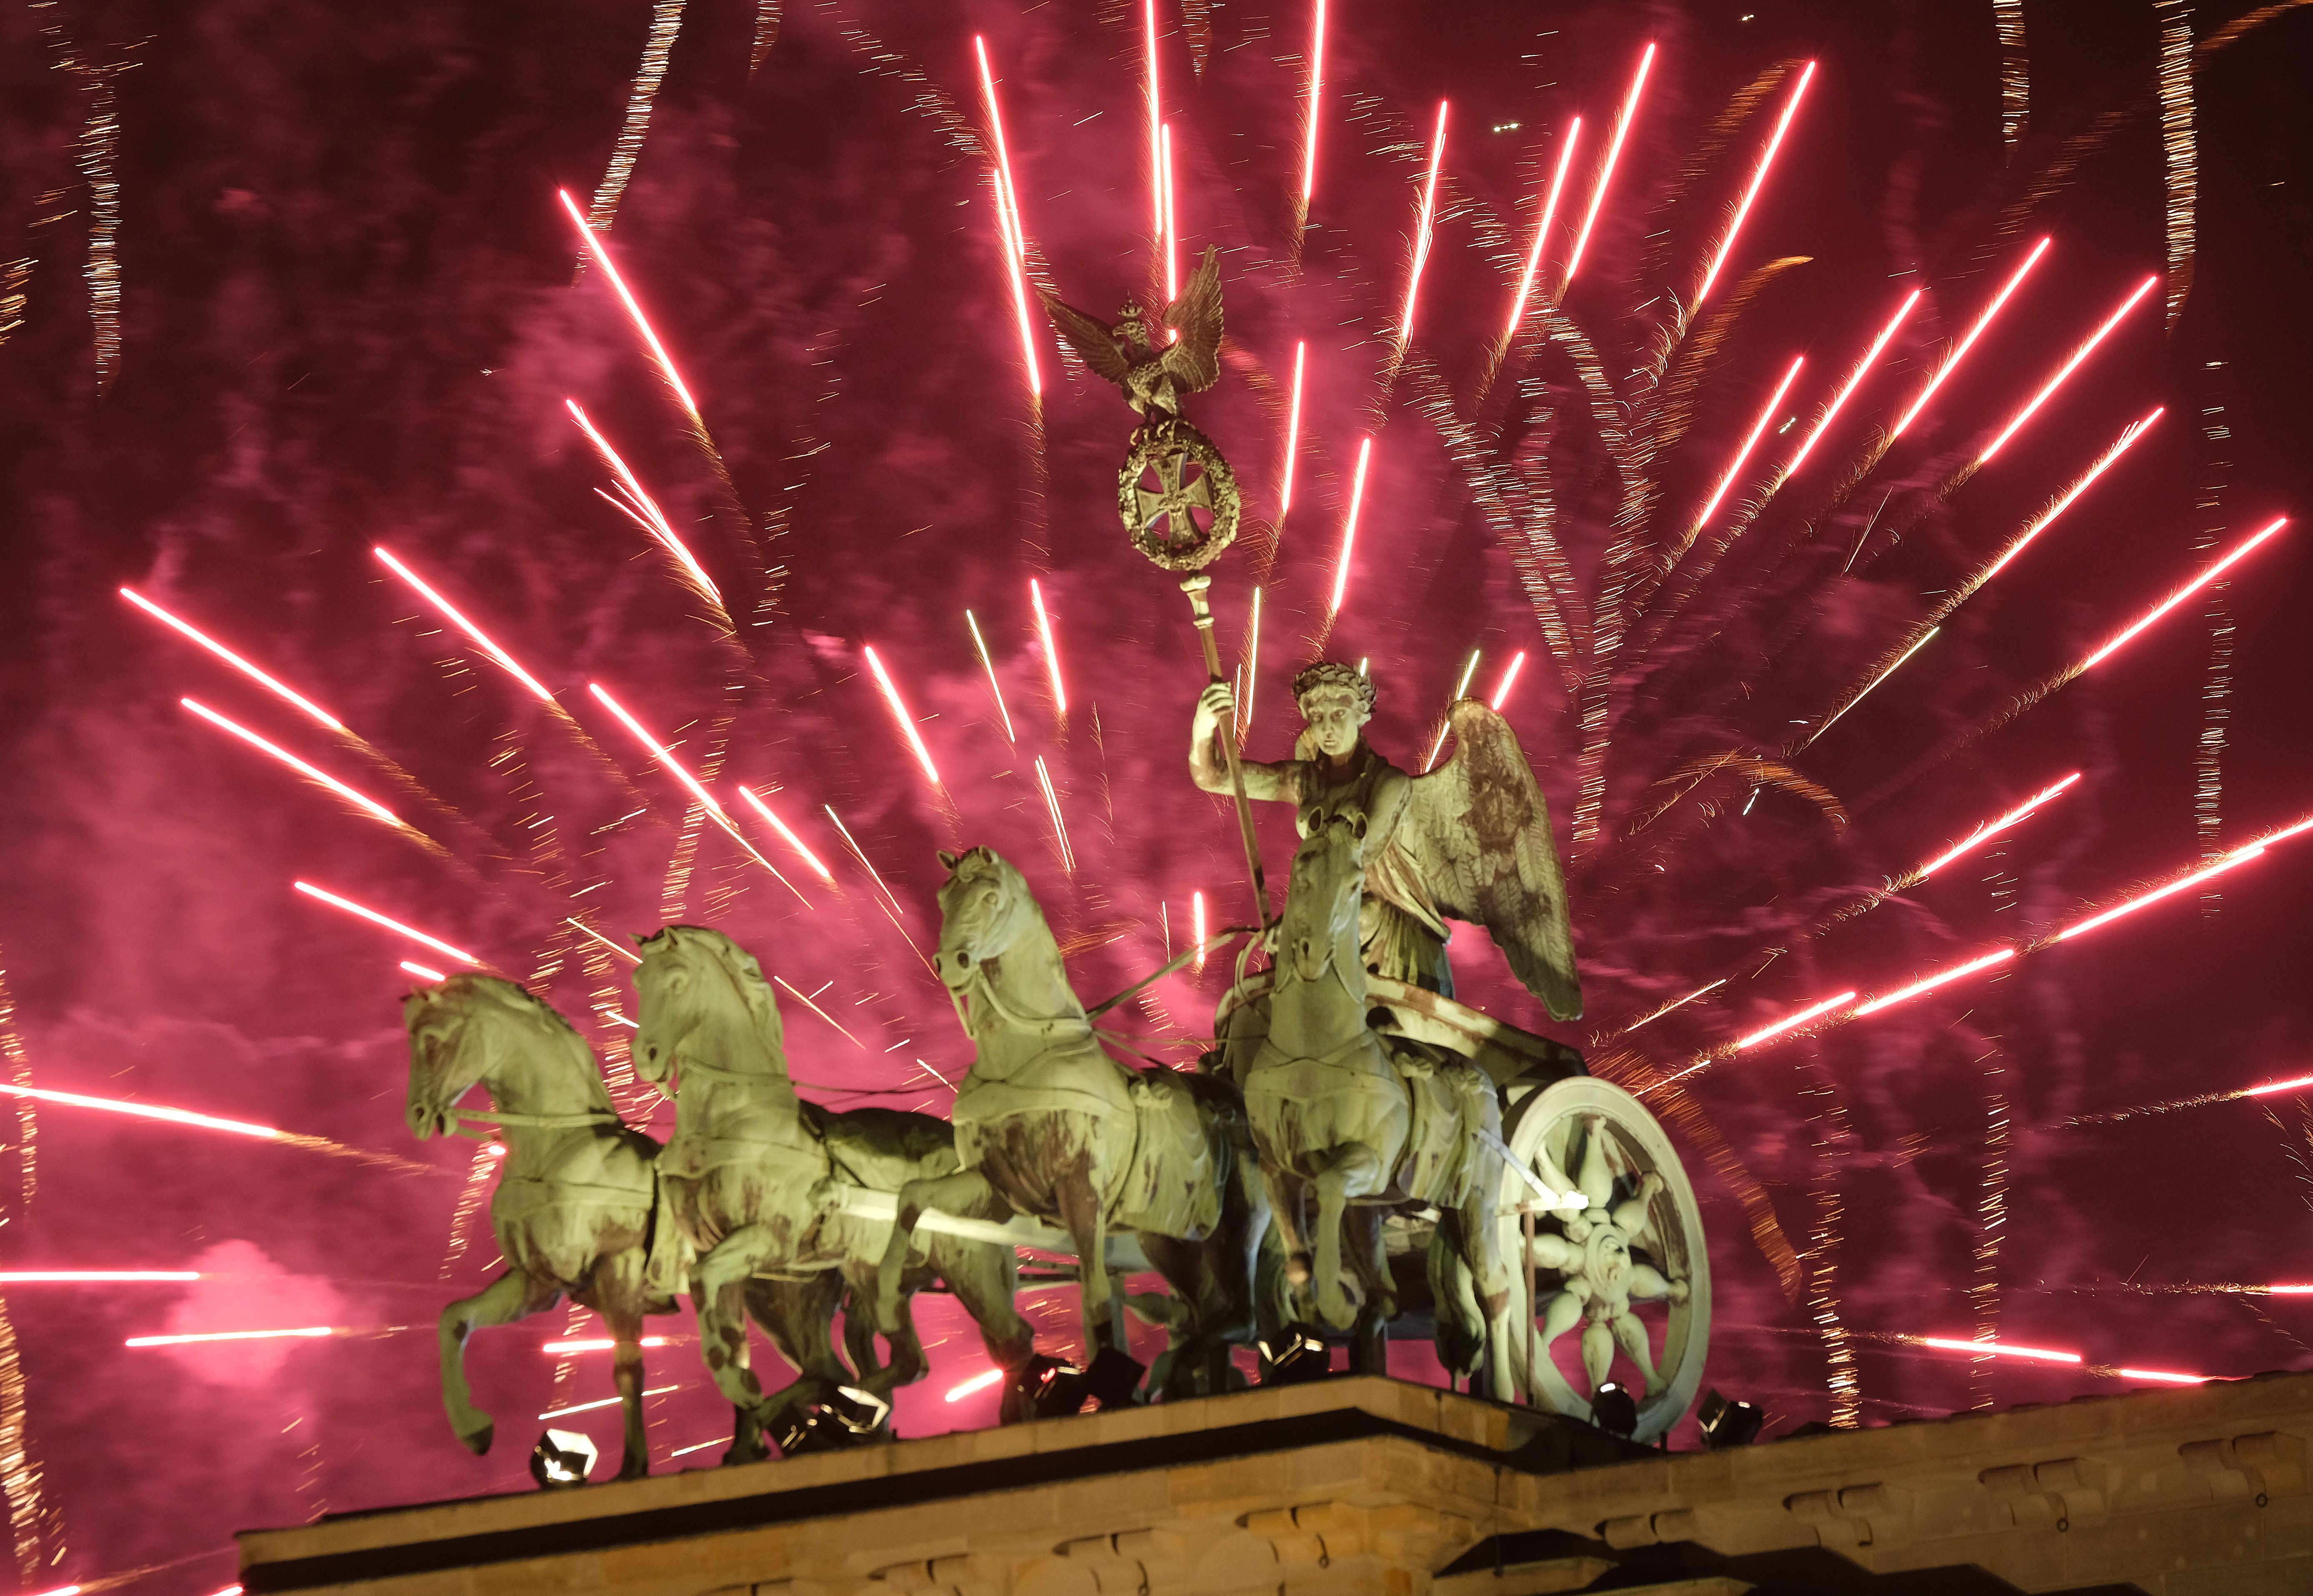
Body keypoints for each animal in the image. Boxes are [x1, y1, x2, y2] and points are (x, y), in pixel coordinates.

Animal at [629, 916, 1036, 1434]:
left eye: (678, 981)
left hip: (969, 1266)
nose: (645, 1056)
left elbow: (703, 1281)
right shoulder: (723, 1256)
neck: (734, 1118)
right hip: (870, 1280)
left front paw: (738, 1383)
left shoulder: (769, 1239)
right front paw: (741, 1384)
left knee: (1009, 1341)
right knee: (888, 1364)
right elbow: (712, 1301)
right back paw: (843, 1410)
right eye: (639, 982)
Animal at [874, 837, 1267, 1388]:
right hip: (1170, 1240)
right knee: (1209, 1311)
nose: (950, 962)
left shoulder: (1080, 1187)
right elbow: (912, 1197)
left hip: (1242, 1226)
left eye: (990, 897)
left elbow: (1095, 1291)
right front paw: (888, 1305)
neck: (1023, 1055)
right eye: (942, 897)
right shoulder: (994, 1188)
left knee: (1242, 1316)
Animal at [1249, 814, 1517, 1388]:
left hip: (1477, 1204)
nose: (1310, 954)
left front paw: (1333, 1303)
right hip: (1378, 1212)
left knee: (1495, 1290)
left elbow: (1330, 1185)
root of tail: (1481, 1078)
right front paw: (1309, 1318)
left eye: (1356, 885)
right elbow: (1298, 1257)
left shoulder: (1366, 1162)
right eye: (1301, 869)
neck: (1313, 1046)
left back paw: (1505, 1389)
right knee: (1387, 1293)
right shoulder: (1276, 1170)